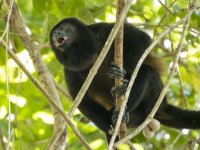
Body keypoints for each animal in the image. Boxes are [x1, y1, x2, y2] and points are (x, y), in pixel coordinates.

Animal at [49, 17, 200, 142]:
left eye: (63, 27)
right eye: (53, 34)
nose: (56, 33)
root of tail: (161, 107)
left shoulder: (103, 29)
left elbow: (141, 38)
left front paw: (122, 73)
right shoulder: (69, 71)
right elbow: (83, 101)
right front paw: (110, 126)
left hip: (156, 97)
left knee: (146, 71)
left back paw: (125, 93)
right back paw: (116, 118)